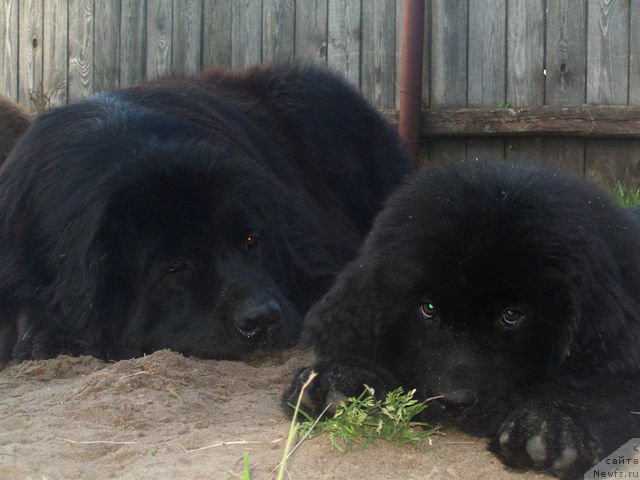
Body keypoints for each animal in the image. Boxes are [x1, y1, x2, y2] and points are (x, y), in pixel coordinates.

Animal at [288, 161, 640, 480]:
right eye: (428, 308)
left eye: (512, 315)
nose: (453, 402)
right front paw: (338, 380)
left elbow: (605, 390)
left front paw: (554, 425)